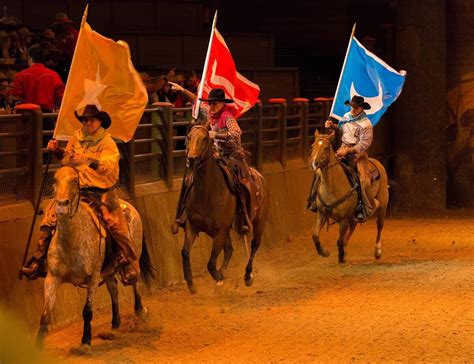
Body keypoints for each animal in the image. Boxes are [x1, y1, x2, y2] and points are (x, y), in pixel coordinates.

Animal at [37, 166, 156, 352]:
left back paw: (140, 310)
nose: (62, 204)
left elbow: (87, 311)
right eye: (55, 180)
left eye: (75, 180)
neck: (72, 241)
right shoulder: (52, 278)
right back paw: (115, 322)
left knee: (136, 281)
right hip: (107, 270)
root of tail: (130, 206)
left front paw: (86, 342)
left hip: (133, 256)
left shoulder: (92, 277)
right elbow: (45, 314)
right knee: (113, 288)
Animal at [181, 125, 270, 292]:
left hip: (259, 223)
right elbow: (185, 252)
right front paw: (191, 284)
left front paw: (218, 277)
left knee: (254, 245)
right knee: (230, 249)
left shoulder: (220, 231)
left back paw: (247, 276)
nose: (192, 159)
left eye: (204, 138)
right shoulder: (193, 226)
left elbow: (210, 263)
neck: (207, 193)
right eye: (189, 137)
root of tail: (260, 177)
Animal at [308, 132, 388, 264]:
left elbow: (339, 240)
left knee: (379, 224)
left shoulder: (343, 218)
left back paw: (377, 251)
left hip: (383, 204)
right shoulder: (322, 213)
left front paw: (341, 256)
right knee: (353, 226)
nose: (314, 164)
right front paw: (324, 252)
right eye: (312, 146)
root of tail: (377, 162)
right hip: (353, 214)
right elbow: (315, 235)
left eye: (326, 148)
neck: (332, 187)